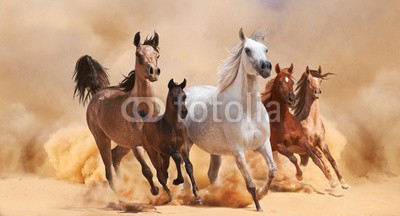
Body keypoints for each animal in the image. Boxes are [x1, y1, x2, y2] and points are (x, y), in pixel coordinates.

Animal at [73, 31, 162, 196]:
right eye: (138, 54)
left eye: (157, 55)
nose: (153, 72)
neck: (145, 109)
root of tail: (98, 92)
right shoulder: (137, 145)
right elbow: (147, 170)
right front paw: (155, 191)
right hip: (102, 139)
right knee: (109, 169)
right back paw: (119, 193)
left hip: (124, 143)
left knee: (115, 156)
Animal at [184, 28, 276, 211]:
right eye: (247, 50)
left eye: (266, 49)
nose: (266, 67)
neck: (249, 111)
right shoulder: (238, 152)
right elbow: (250, 184)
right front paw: (258, 206)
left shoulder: (263, 144)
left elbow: (272, 171)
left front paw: (262, 194)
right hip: (186, 143)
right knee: (186, 168)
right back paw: (196, 197)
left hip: (215, 151)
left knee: (212, 174)